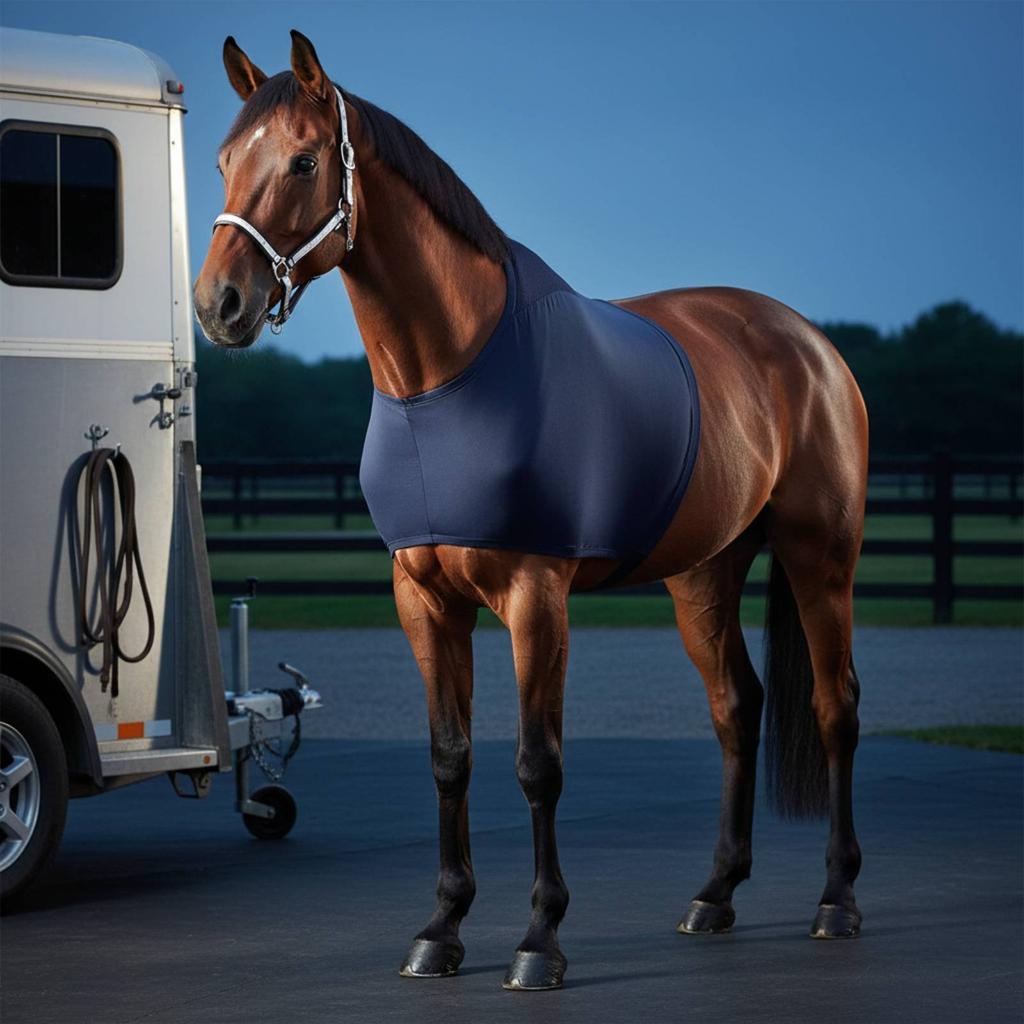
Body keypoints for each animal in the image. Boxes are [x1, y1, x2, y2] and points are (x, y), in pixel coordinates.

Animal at [194, 30, 868, 992]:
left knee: (835, 706)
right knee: (737, 707)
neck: (449, 371)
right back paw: (715, 895)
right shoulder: (424, 602)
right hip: (704, 576)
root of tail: (811, 346)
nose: (220, 304)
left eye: (305, 160)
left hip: (822, 557)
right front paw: (441, 928)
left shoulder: (535, 601)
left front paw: (539, 940)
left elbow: (537, 765)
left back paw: (836, 900)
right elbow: (450, 758)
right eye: (222, 163)